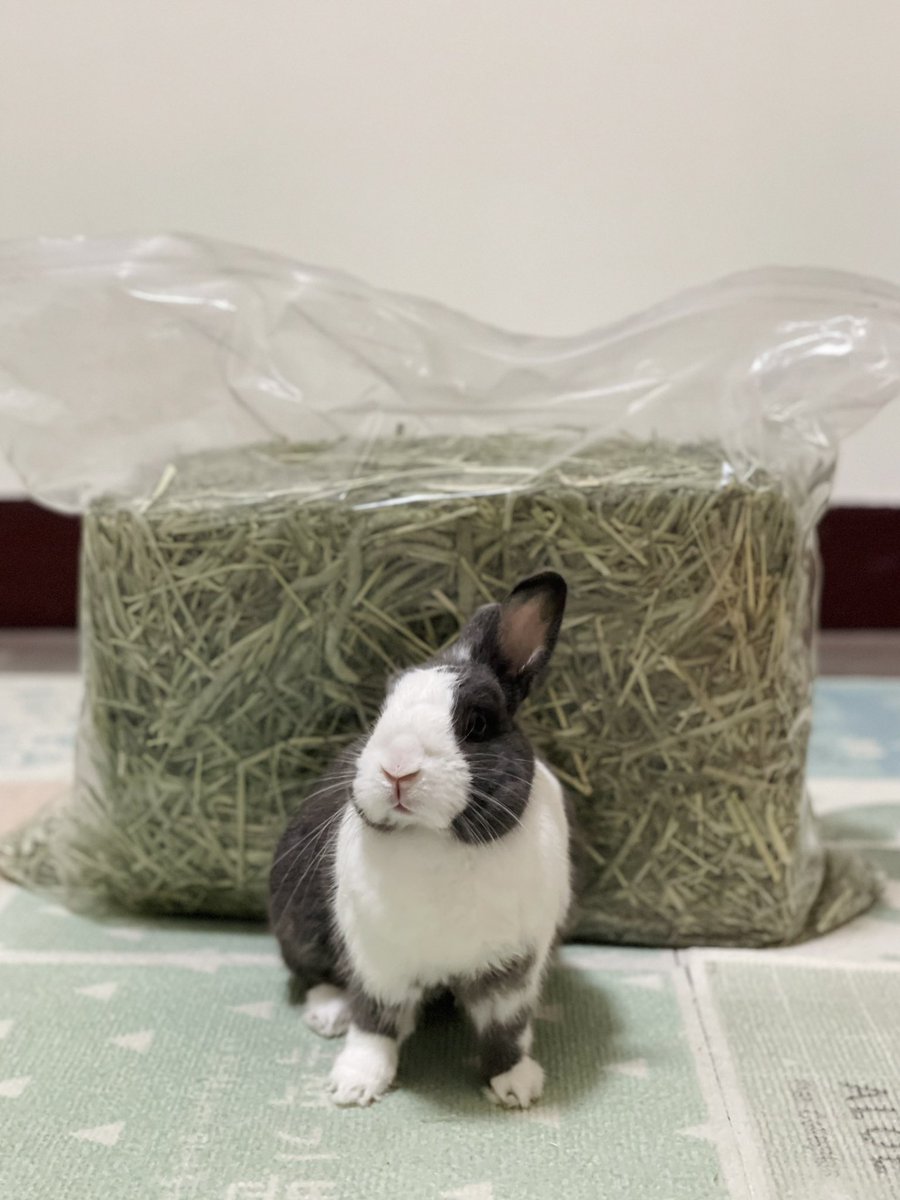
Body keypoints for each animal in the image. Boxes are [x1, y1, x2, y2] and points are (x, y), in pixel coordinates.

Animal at [269, 570, 571, 1109]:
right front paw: (356, 1084)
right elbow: (374, 1023)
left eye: (477, 723)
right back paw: (329, 1014)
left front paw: (516, 1086)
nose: (397, 768)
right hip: (298, 923)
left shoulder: (514, 970)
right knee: (314, 974)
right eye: (380, 715)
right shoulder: (377, 961)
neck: (435, 842)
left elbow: (507, 1030)